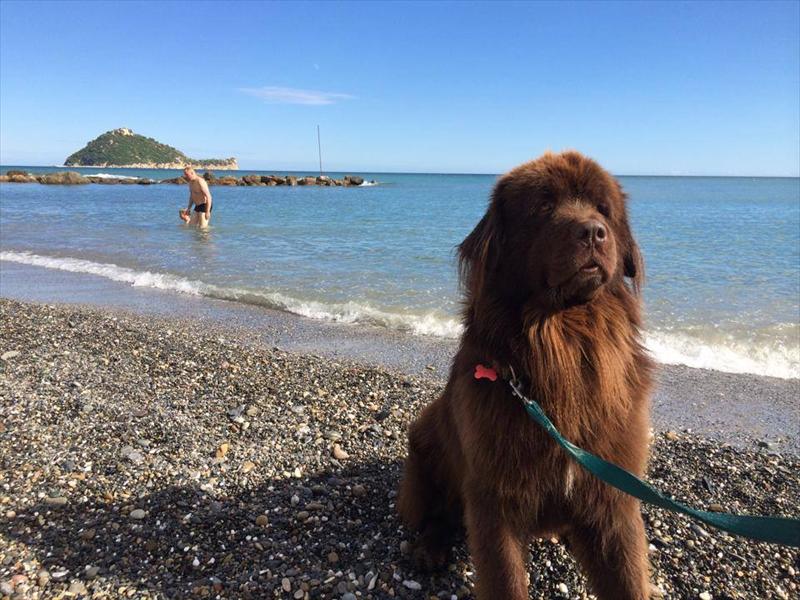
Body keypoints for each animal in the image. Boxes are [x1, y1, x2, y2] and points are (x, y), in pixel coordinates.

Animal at [396, 152, 652, 596]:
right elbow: (504, 579)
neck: (562, 346)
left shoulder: (612, 492)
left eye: (603, 208)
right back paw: (430, 548)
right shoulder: (494, 497)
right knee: (436, 512)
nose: (593, 232)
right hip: (424, 441)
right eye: (544, 207)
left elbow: (626, 576)